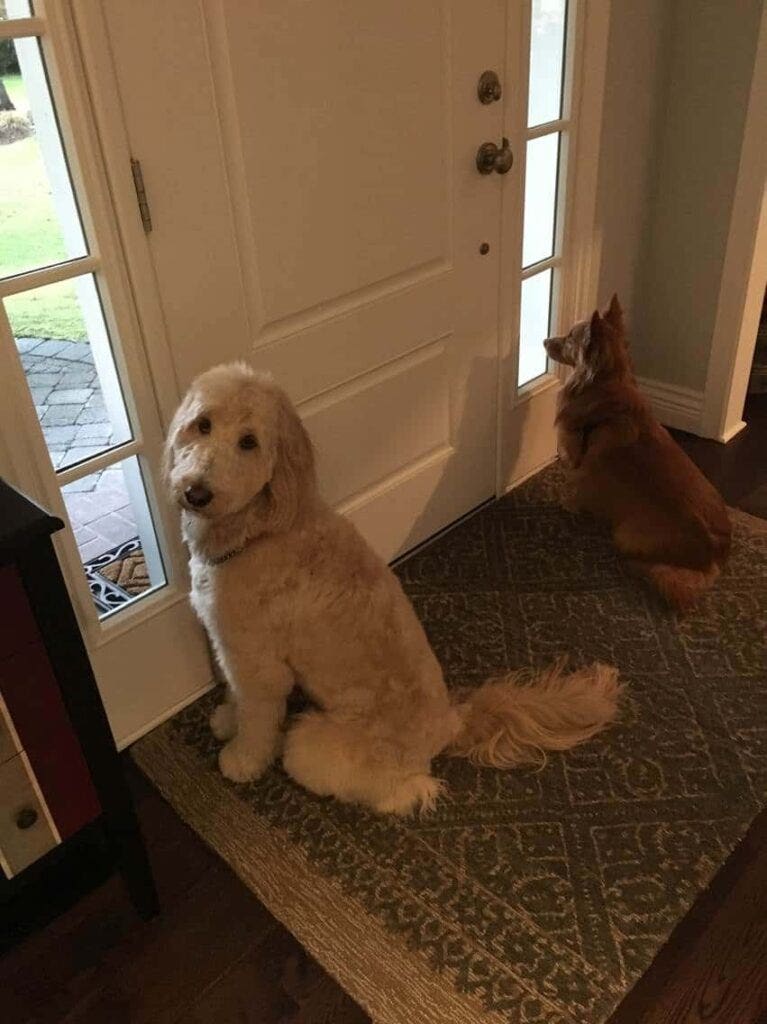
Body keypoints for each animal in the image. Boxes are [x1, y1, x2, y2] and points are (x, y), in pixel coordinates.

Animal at [162, 364, 622, 811]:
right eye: (202, 424)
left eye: (249, 442)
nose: (196, 492)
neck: (259, 528)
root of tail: (451, 722)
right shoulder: (230, 646)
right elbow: (234, 692)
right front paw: (227, 719)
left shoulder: (259, 663)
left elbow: (256, 716)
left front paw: (242, 758)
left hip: (312, 744)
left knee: (401, 791)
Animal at [544, 299, 729, 610]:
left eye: (569, 338)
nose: (545, 340)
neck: (605, 383)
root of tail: (712, 553)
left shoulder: (578, 459)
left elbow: (576, 488)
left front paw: (568, 504)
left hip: (625, 534)